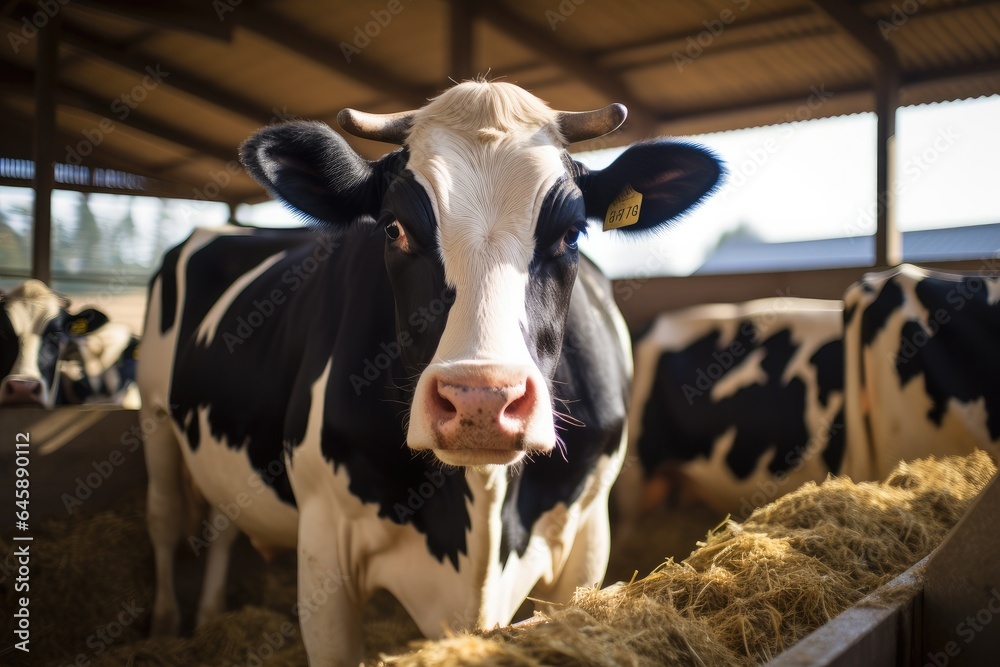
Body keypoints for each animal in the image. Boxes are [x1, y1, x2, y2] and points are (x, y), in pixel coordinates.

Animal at [137, 81, 724, 664]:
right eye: (394, 228)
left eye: (573, 233)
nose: (481, 400)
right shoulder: (325, 542)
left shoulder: (586, 536)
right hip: (155, 413)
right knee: (164, 519)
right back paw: (165, 625)